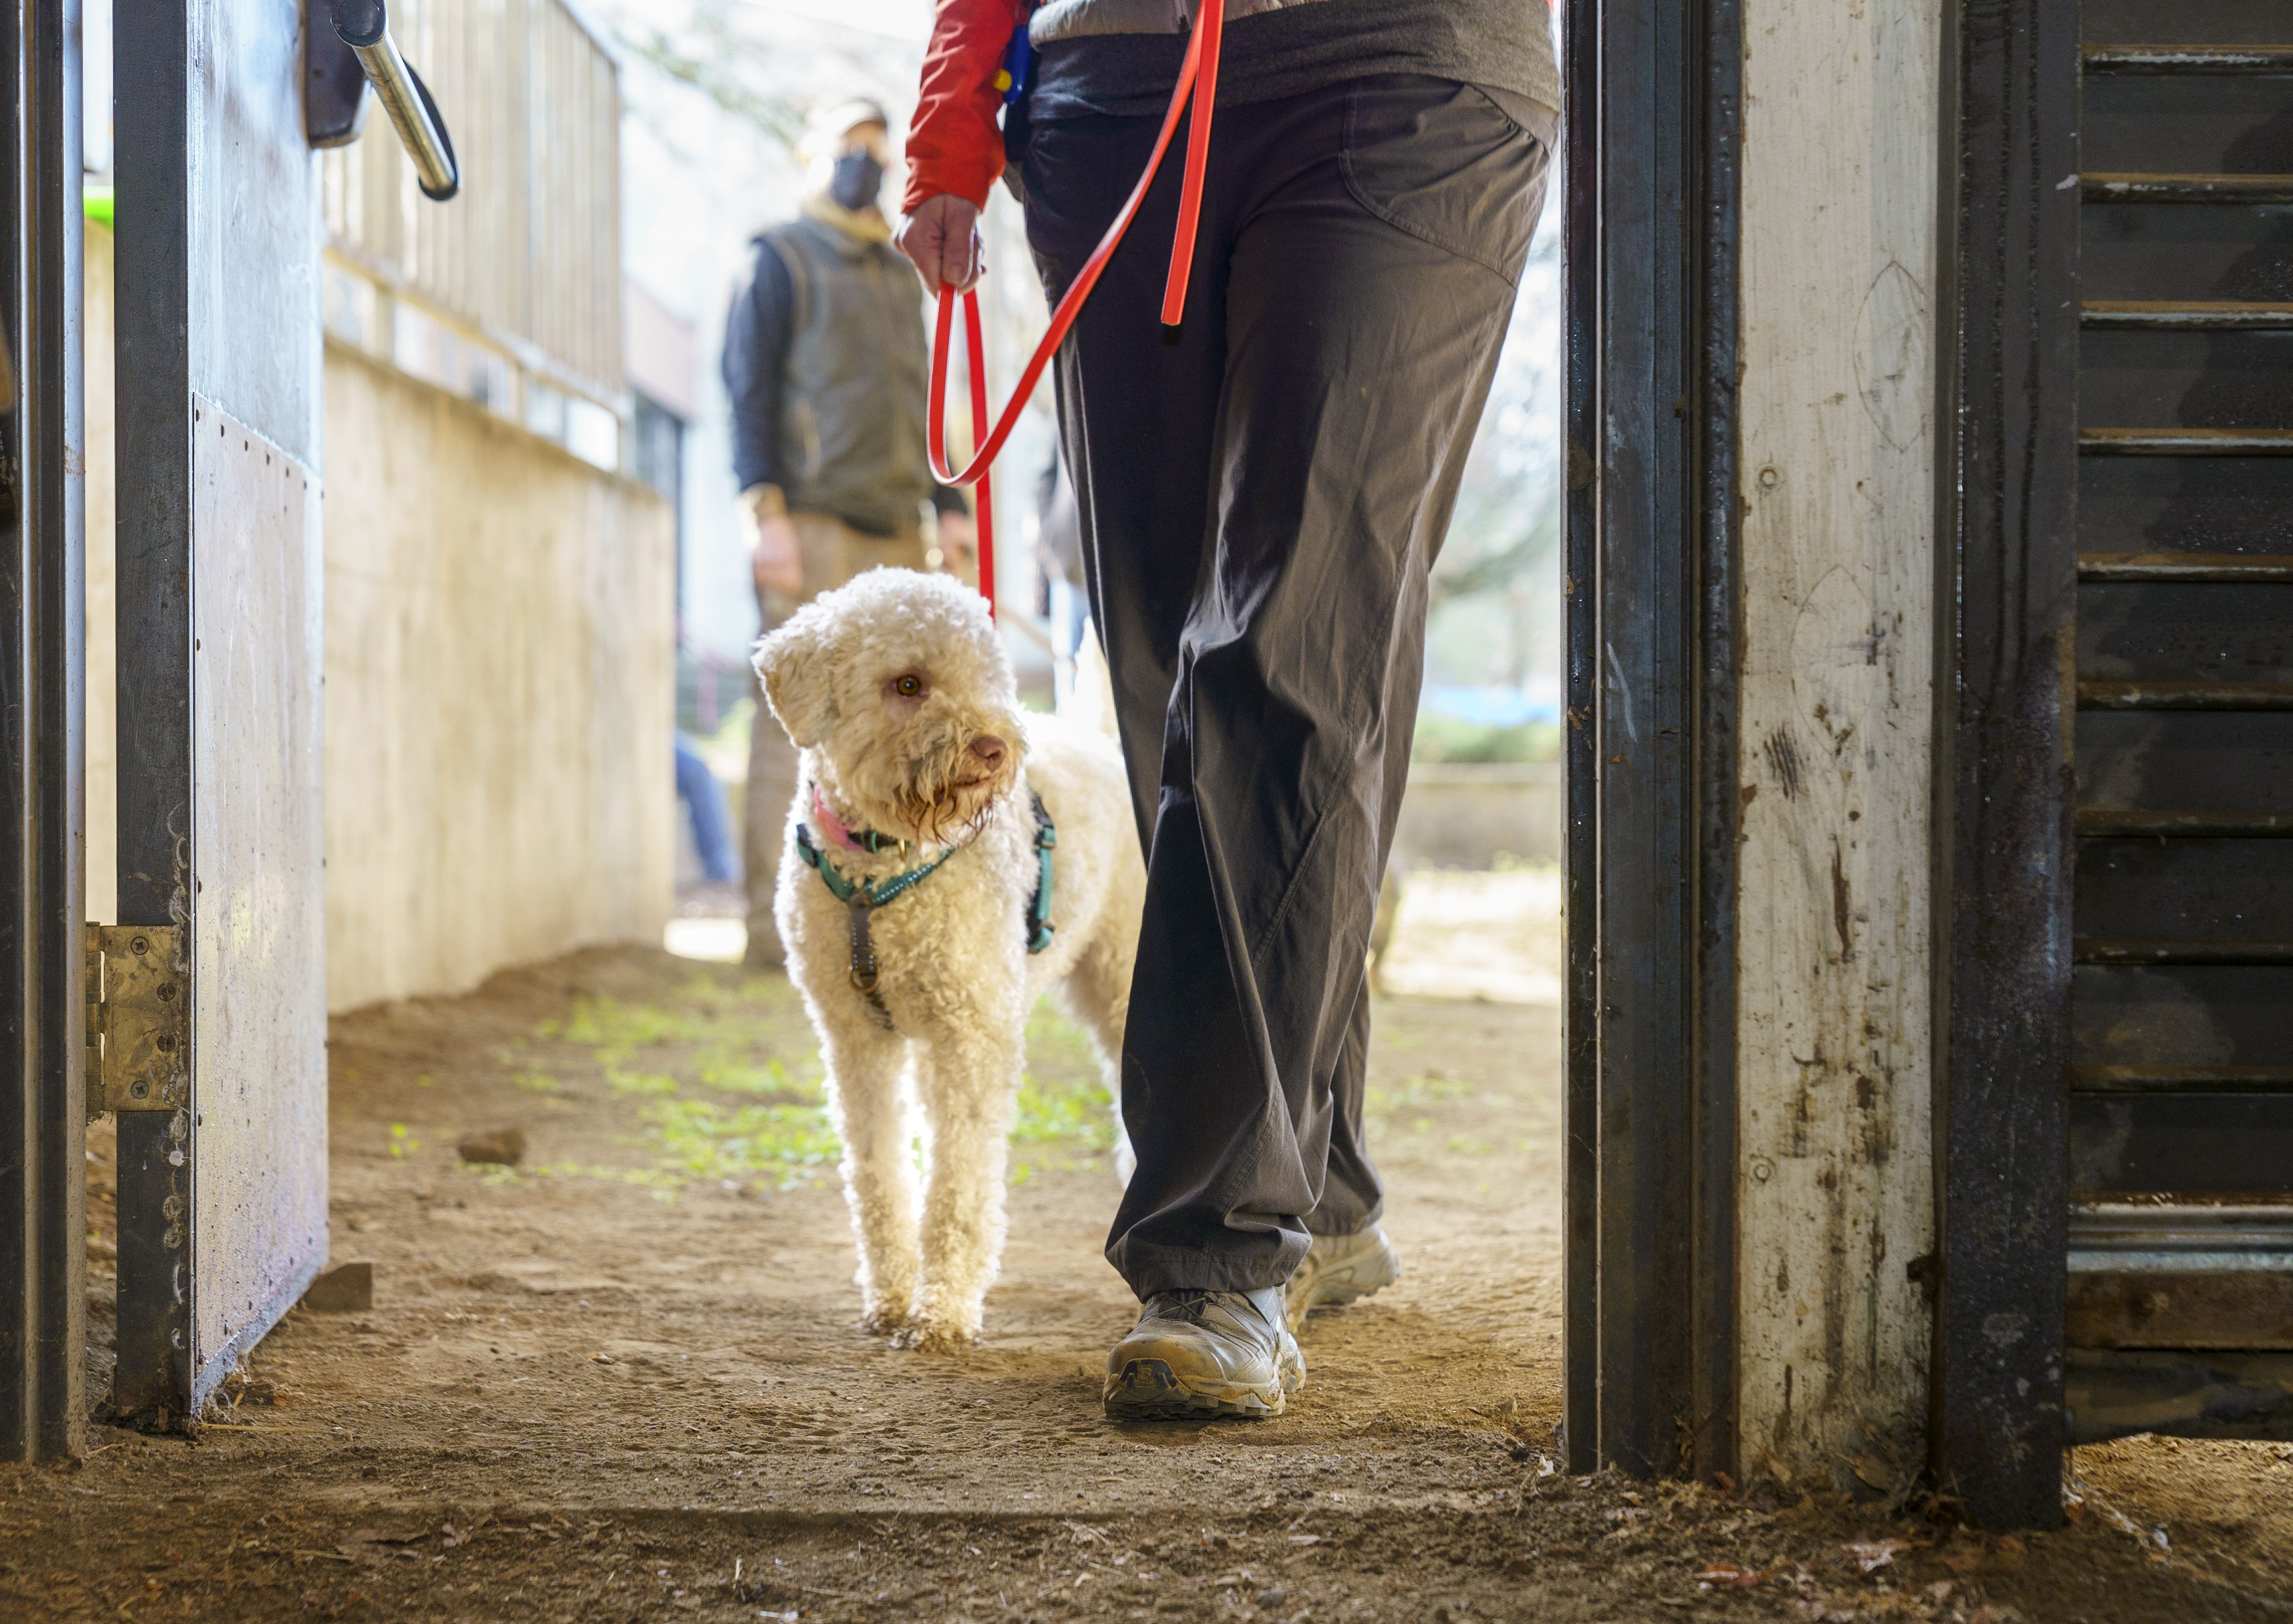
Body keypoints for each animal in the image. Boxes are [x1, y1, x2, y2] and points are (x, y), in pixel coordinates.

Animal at [756, 564, 1142, 1349]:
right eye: (908, 683)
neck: (878, 873)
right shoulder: (856, 1040)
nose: (994, 748)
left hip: (1125, 978)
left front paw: (942, 1311)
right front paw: (892, 1295)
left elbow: (959, 1182)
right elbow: (877, 1172)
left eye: (989, 675)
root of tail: (1100, 743)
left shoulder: (968, 1036)